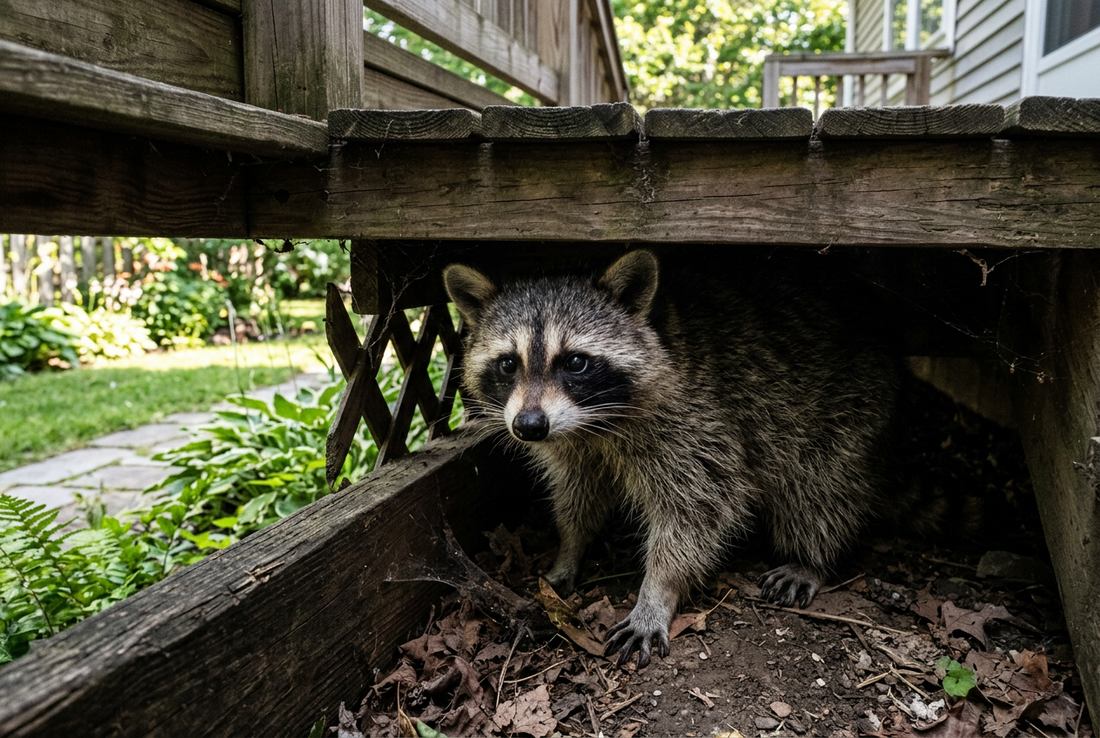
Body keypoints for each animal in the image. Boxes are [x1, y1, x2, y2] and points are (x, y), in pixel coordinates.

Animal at [443, 249, 899, 667]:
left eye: (575, 362)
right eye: (508, 363)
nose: (529, 426)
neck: (593, 425)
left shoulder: (697, 423)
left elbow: (696, 510)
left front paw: (657, 592)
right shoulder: (576, 447)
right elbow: (578, 494)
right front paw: (570, 547)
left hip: (842, 410)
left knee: (819, 486)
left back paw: (811, 557)